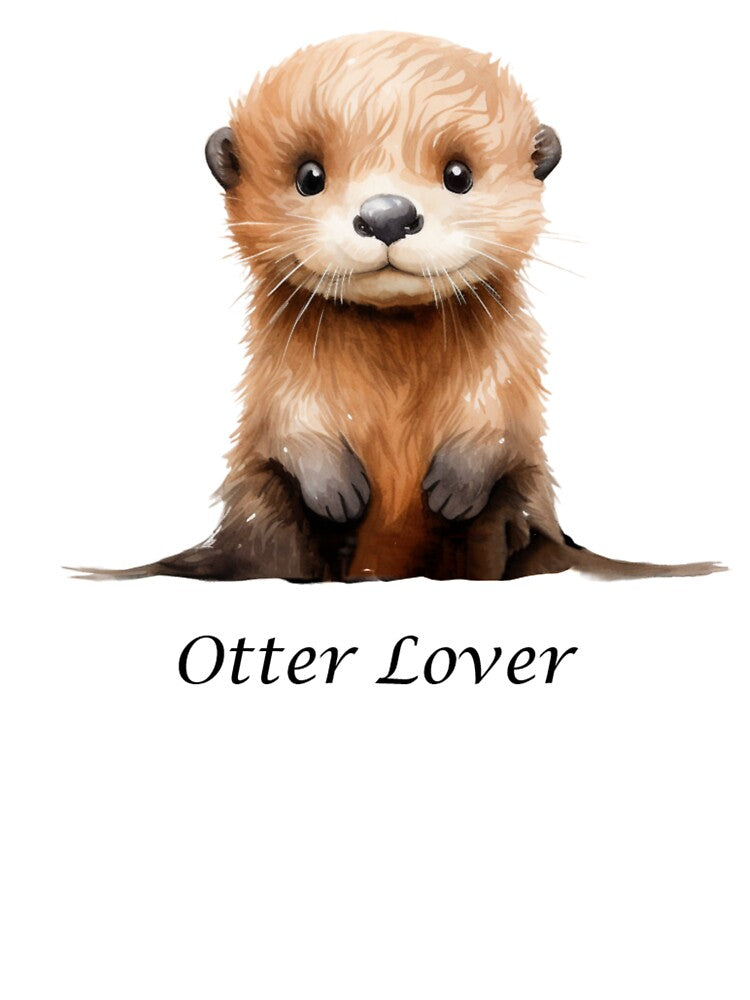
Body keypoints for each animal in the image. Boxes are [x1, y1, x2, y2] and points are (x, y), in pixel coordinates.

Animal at [77, 31, 720, 581]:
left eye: (458, 174)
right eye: (310, 175)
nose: (388, 214)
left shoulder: (514, 362)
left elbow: (501, 414)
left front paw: (454, 485)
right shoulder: (275, 373)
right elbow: (289, 419)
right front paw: (338, 491)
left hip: (519, 509)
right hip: (261, 503)